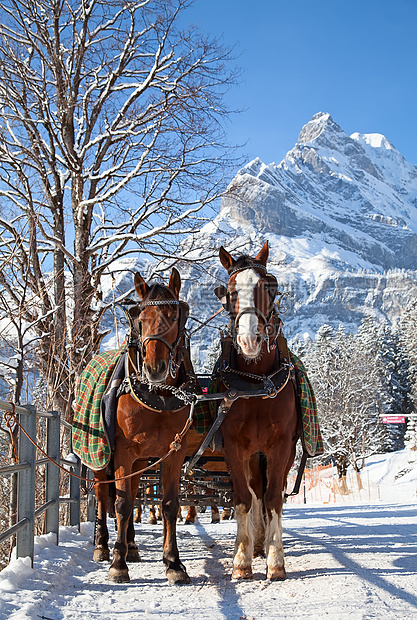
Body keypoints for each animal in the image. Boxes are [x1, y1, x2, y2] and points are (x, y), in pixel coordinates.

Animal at [91, 268, 192, 584]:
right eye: (139, 318)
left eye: (174, 315)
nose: (154, 368)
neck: (157, 395)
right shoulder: (122, 452)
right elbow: (121, 505)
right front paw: (117, 564)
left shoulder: (173, 453)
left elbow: (169, 504)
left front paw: (173, 563)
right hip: (100, 457)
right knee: (103, 495)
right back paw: (103, 546)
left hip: (139, 461)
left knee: (134, 492)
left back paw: (131, 546)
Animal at [214, 242, 300, 580]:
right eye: (229, 291)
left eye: (268, 286)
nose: (250, 340)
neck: (256, 381)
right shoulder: (234, 446)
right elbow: (242, 499)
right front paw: (242, 559)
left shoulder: (281, 446)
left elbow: (274, 498)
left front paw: (276, 561)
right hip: (252, 453)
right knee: (253, 493)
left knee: (265, 494)